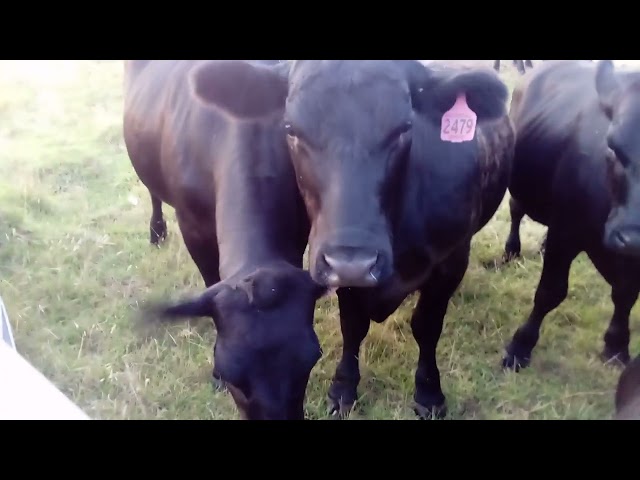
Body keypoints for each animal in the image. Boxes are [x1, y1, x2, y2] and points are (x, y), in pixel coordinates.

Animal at [122, 60, 328, 420]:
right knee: (152, 191)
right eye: (230, 375)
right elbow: (209, 277)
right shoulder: (193, 226)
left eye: (310, 360)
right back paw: (156, 231)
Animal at [206, 60, 516, 416]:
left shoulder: (451, 259)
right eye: (290, 129)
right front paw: (343, 389)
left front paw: (429, 393)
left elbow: (426, 326)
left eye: (404, 128)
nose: (353, 262)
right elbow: (353, 326)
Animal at [500, 60, 640, 374]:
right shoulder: (565, 232)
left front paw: (617, 346)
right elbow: (550, 291)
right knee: (516, 211)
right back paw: (511, 251)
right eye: (611, 146)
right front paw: (520, 347)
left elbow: (625, 296)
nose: (631, 238)